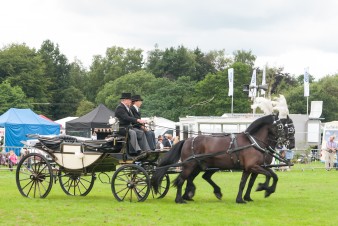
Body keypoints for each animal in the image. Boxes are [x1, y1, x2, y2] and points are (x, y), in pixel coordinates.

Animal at [152, 114, 294, 204]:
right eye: (281, 127)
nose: (290, 144)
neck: (253, 142)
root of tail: (187, 140)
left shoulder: (251, 168)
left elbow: (248, 182)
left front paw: (243, 198)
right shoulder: (253, 167)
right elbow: (268, 176)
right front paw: (263, 188)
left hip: (199, 166)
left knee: (193, 179)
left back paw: (193, 194)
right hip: (190, 166)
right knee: (182, 180)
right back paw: (180, 199)